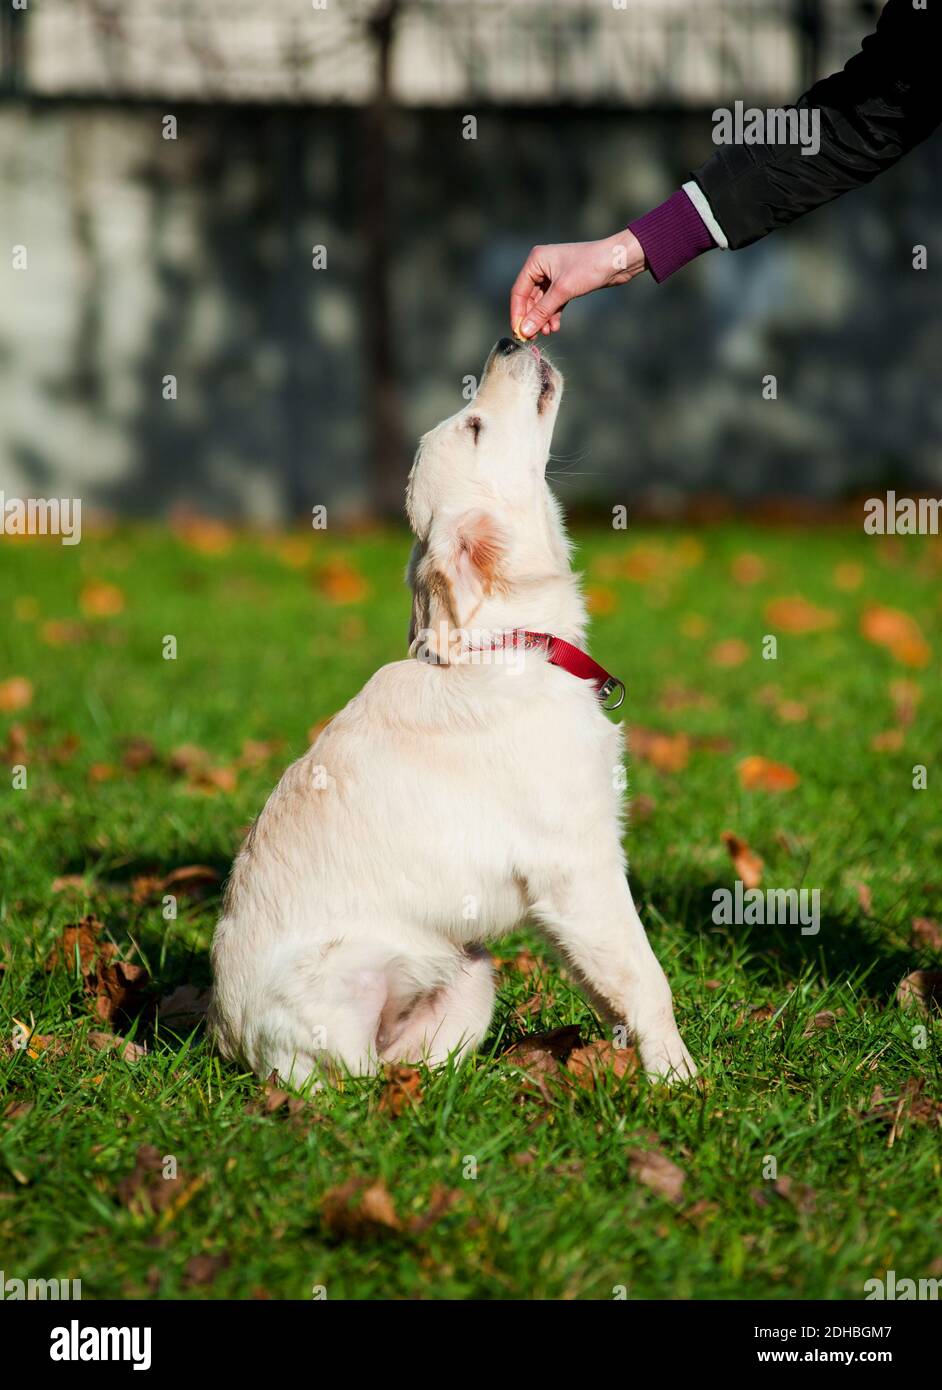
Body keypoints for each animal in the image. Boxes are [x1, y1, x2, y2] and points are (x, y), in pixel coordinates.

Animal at [215, 336, 700, 1084]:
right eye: (473, 427)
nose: (507, 339)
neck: (510, 642)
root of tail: (226, 1040)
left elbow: (606, 986)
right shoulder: (579, 866)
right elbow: (646, 979)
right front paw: (678, 1078)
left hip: (471, 972)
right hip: (342, 983)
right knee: (347, 1082)